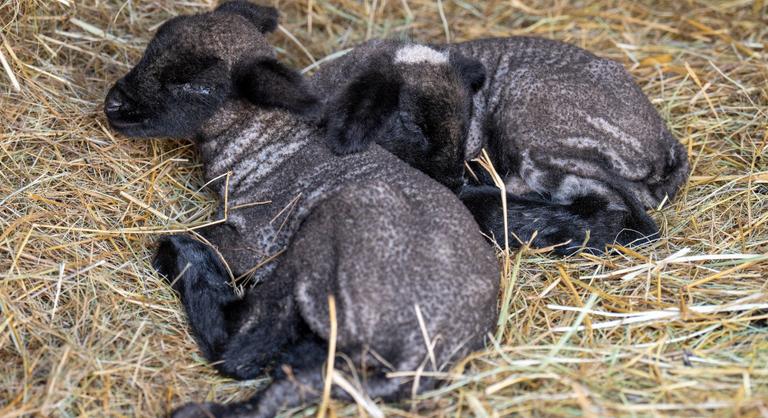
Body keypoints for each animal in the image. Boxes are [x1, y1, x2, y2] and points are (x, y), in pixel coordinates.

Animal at [102, 1, 498, 416]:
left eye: (195, 84)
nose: (113, 104)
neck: (261, 139)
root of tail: (419, 357)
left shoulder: (258, 239)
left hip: (322, 239)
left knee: (243, 347)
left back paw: (183, 260)